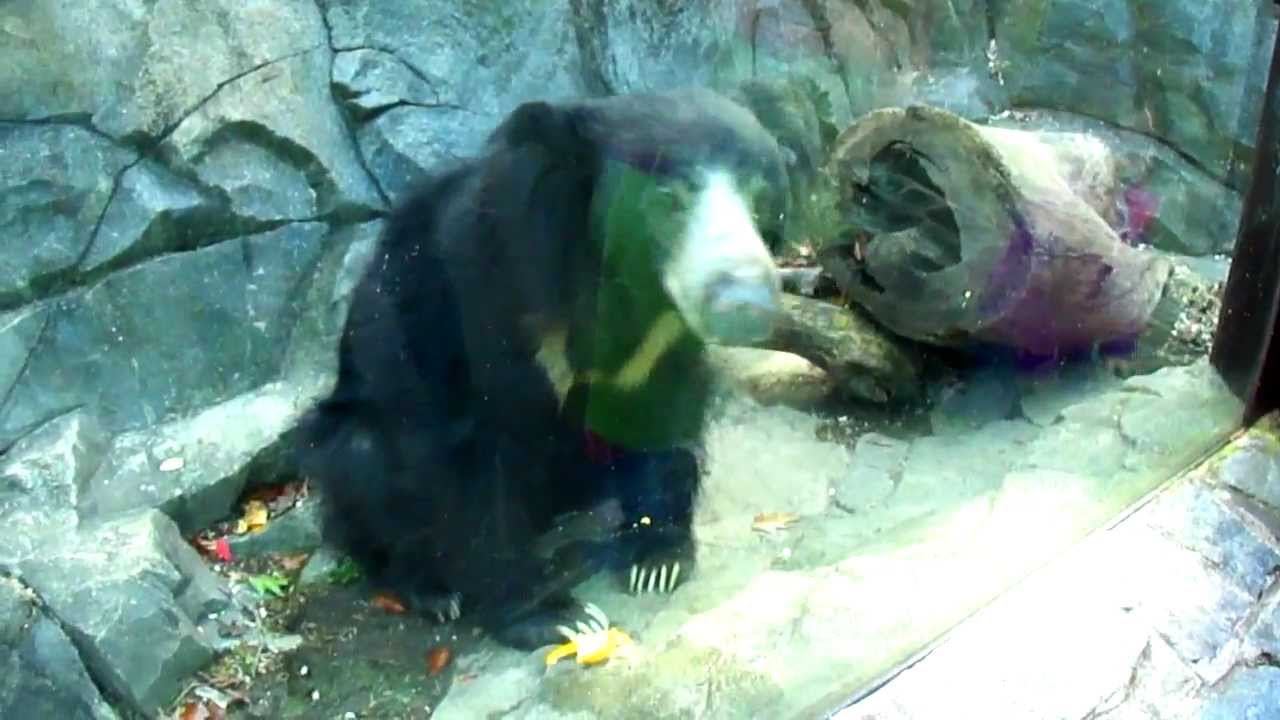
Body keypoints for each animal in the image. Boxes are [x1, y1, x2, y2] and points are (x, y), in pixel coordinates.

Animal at [294, 87, 790, 650]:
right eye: (667, 198)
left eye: (762, 200)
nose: (746, 303)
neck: (620, 286)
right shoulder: (491, 291)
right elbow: (476, 457)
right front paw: (555, 615)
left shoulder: (662, 340)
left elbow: (657, 410)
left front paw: (657, 558)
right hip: (357, 433)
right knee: (365, 468)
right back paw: (429, 589)